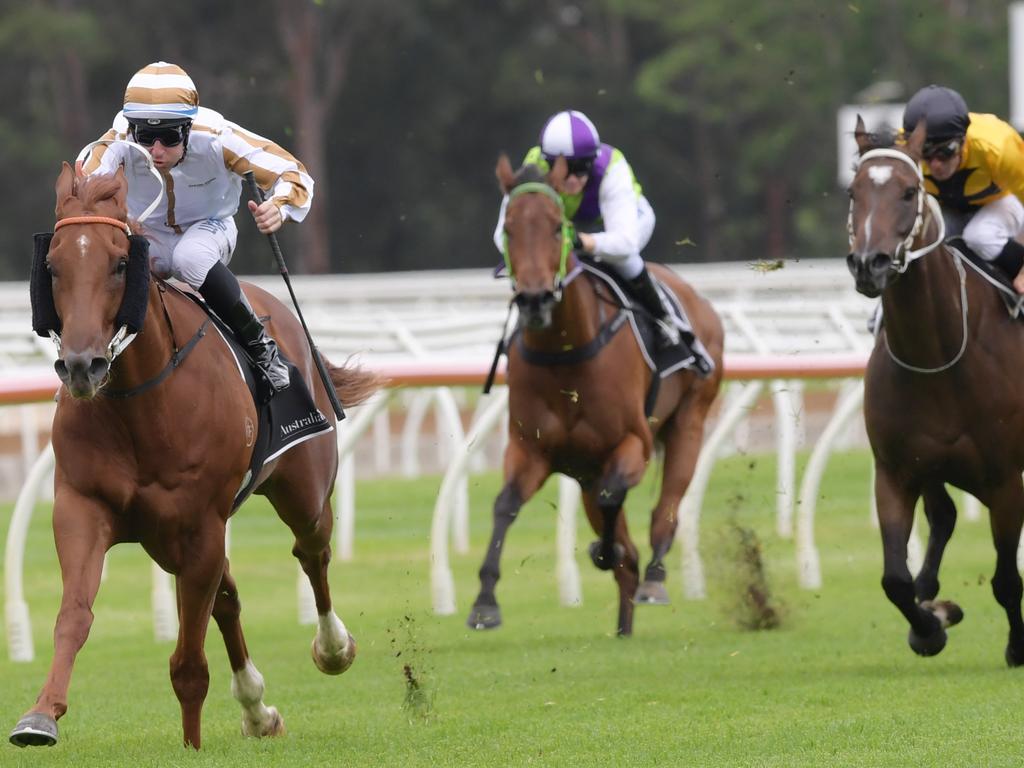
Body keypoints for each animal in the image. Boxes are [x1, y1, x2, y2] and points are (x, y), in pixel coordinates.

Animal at [9, 165, 385, 749]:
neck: (140, 403)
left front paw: (192, 744)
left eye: (120, 263)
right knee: (228, 596)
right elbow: (74, 614)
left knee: (312, 550)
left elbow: (188, 659)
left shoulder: (201, 525)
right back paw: (257, 707)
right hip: (165, 539)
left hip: (300, 489)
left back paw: (332, 647)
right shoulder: (83, 506)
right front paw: (41, 715)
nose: (81, 366)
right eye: (52, 267)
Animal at [468, 154, 724, 638]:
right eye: (509, 227)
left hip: (689, 421)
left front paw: (606, 553)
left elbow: (614, 501)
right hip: (586, 470)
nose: (534, 299)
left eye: (557, 227)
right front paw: (485, 603)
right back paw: (624, 621)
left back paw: (654, 579)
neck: (567, 353)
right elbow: (504, 505)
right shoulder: (531, 450)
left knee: (665, 511)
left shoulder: (633, 444)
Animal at [851, 117, 1024, 663]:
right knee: (943, 516)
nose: (870, 264)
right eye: (853, 192)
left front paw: (1017, 647)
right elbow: (895, 580)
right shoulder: (895, 471)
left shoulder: (1005, 479)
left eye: (909, 192)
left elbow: (1007, 580)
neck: (937, 356)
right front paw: (931, 624)